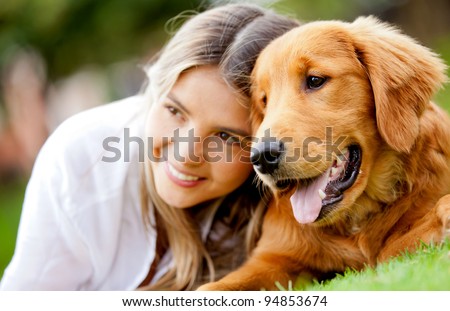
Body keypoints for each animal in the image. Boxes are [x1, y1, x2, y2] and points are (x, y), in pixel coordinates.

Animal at [200, 15, 450, 292]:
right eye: (263, 101)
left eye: (315, 80)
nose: (262, 157)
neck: (354, 219)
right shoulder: (273, 257)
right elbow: (209, 288)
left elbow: (391, 247)